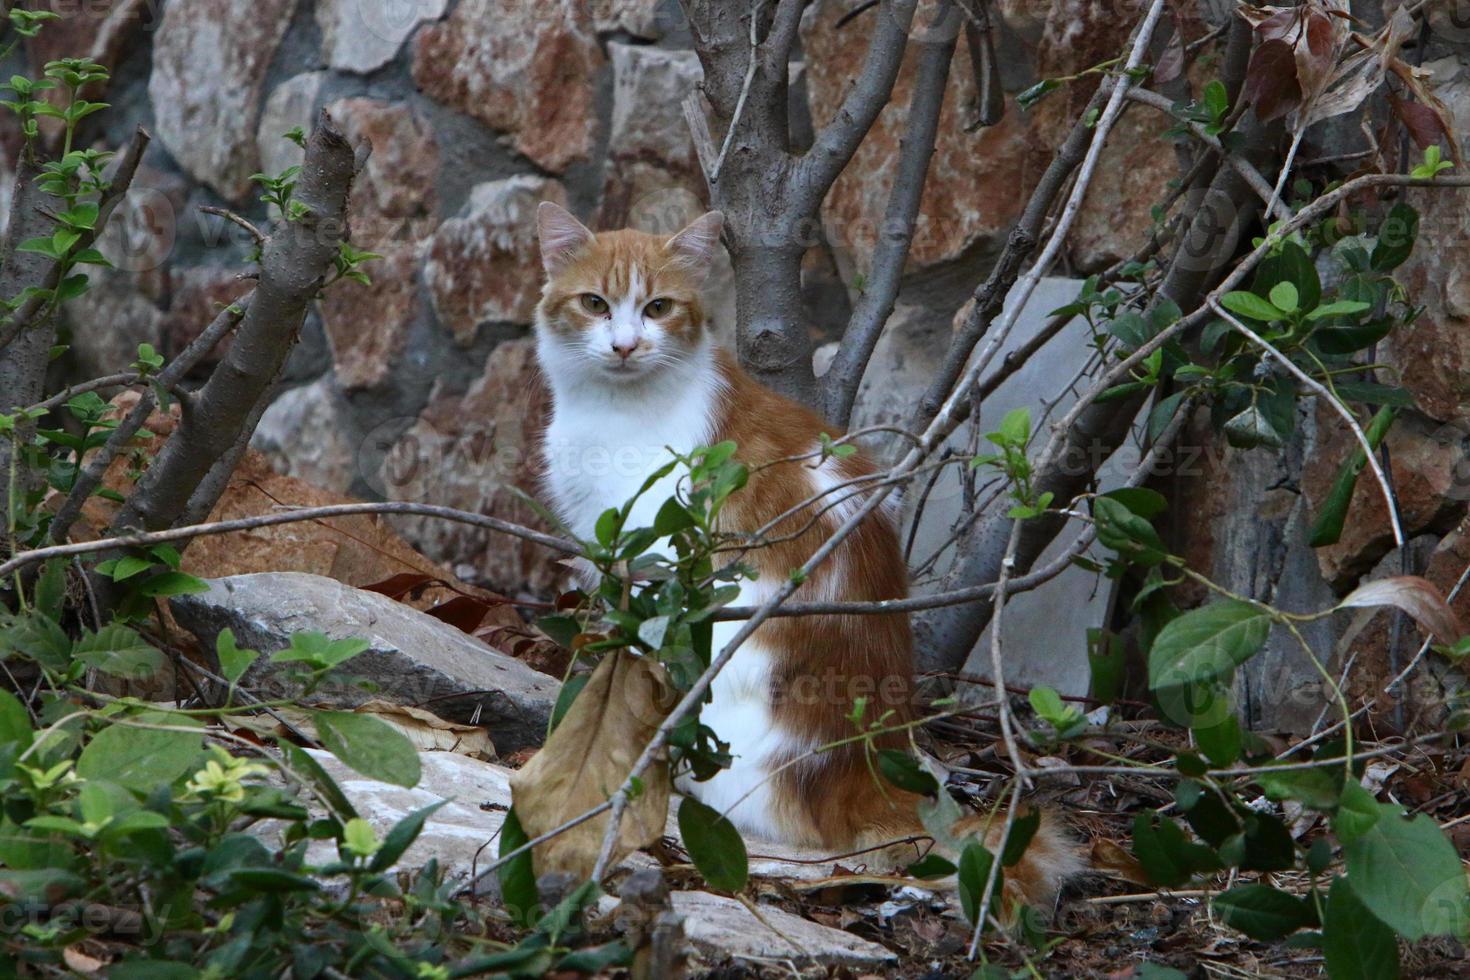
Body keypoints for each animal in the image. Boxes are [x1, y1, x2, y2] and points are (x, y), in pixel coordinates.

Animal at [535, 202, 1076, 910]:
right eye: (595, 303)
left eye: (657, 308)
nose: (626, 345)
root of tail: (864, 766)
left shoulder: (651, 563)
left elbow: (627, 658)